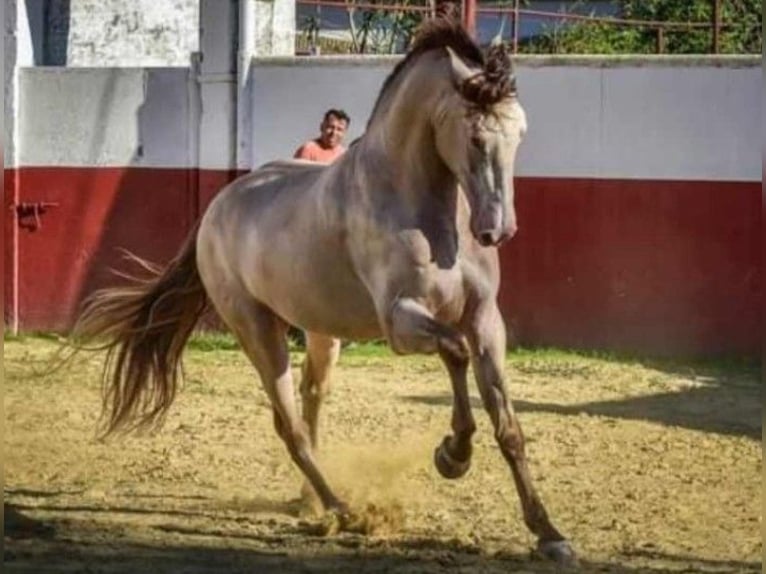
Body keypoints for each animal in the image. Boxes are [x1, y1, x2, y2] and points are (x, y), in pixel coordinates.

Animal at [75, 18, 576, 568]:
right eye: (475, 136)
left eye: (519, 133)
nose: (497, 231)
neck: (423, 208)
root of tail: (216, 208)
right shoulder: (401, 320)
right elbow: (455, 352)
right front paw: (452, 455)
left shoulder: (485, 318)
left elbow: (507, 423)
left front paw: (549, 533)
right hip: (257, 330)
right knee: (289, 424)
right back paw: (342, 510)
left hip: (320, 331)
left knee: (311, 400)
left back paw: (310, 501)